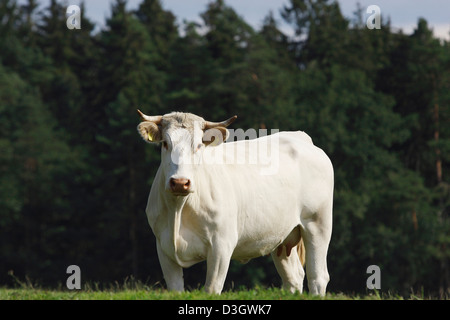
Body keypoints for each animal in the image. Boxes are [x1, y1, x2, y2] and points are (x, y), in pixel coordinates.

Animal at [138, 110, 334, 296]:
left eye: (199, 145)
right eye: (165, 143)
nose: (180, 182)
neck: (179, 210)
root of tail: (299, 137)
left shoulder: (221, 244)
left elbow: (212, 288)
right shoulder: (163, 247)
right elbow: (175, 288)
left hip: (318, 223)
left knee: (318, 277)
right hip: (283, 236)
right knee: (294, 277)